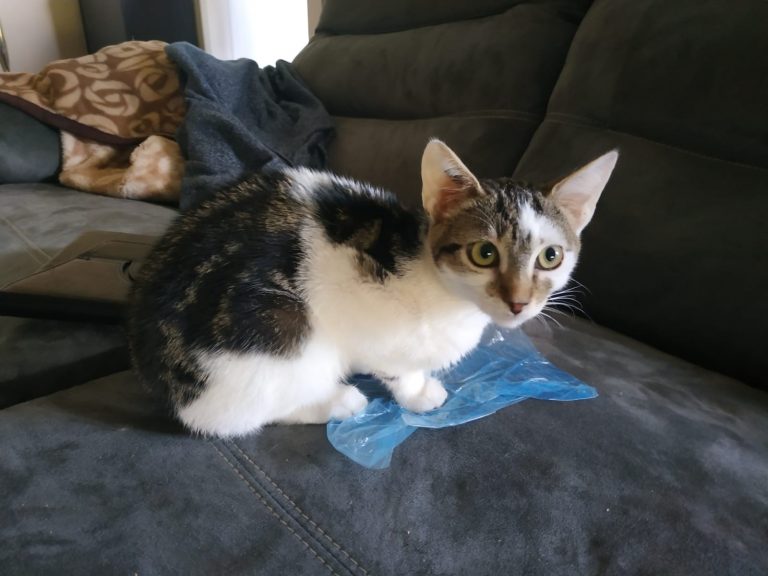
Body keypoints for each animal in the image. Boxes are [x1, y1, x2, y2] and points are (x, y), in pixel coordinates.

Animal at [128, 140, 618, 437]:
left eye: (550, 257)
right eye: (484, 253)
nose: (519, 303)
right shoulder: (370, 324)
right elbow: (398, 368)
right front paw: (418, 394)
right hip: (279, 336)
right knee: (234, 417)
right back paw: (338, 401)